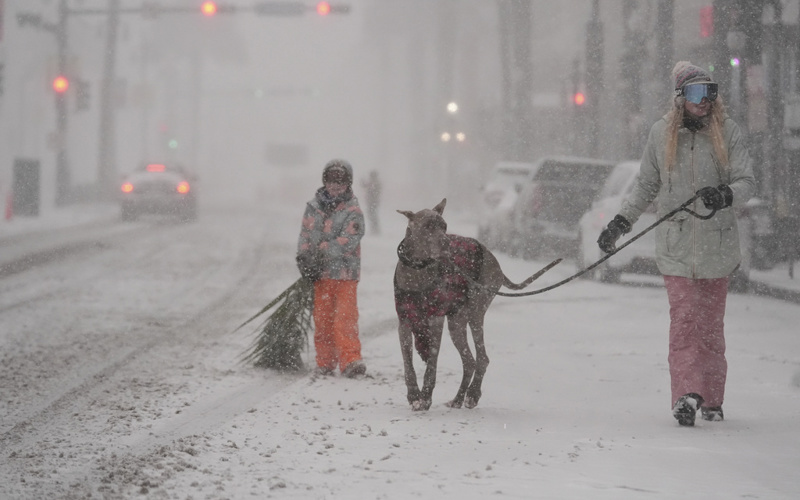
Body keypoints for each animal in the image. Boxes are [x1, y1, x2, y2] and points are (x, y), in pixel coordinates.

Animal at [396, 198, 560, 410]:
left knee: (482, 358)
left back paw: (472, 394)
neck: (418, 271)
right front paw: (414, 395)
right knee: (470, 361)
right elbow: (407, 363)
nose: (447, 243)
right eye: (427, 226)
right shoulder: (404, 321)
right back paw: (458, 398)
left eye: (444, 226)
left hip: (475, 311)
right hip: (457, 322)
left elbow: (432, 364)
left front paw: (425, 398)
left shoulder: (435, 321)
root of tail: (496, 262)